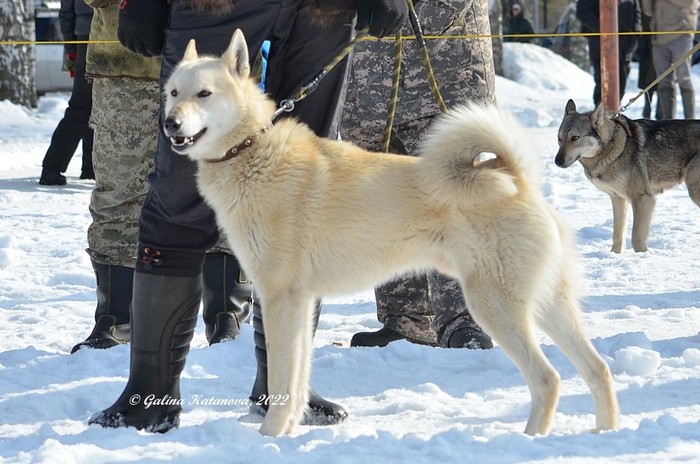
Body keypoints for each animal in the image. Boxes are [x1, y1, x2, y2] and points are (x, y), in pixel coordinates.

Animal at [162, 30, 619, 437]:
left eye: (204, 94)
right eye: (172, 92)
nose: (170, 123)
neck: (252, 152)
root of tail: (515, 178)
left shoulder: (279, 297)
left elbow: (281, 383)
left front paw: (270, 438)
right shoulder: (299, 302)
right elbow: (296, 379)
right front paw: (288, 431)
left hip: (495, 306)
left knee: (548, 378)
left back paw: (526, 441)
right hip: (547, 306)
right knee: (597, 368)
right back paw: (604, 432)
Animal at [555, 99, 700, 253]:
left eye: (575, 138)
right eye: (559, 139)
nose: (557, 161)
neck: (614, 147)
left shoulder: (643, 199)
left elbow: (636, 238)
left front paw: (643, 256)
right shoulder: (618, 199)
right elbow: (617, 236)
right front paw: (614, 255)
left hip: (693, 190)